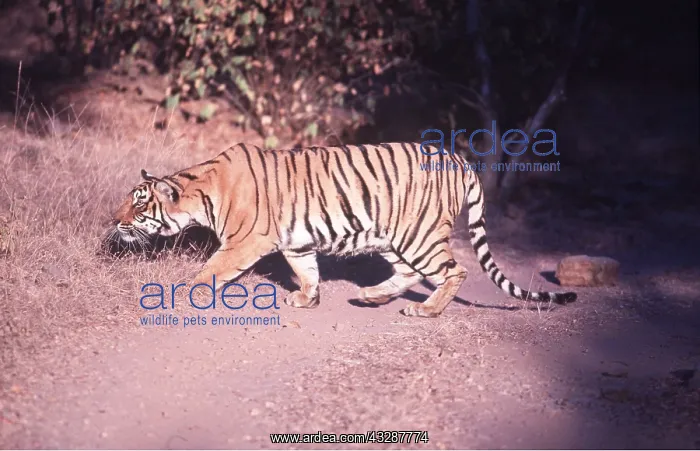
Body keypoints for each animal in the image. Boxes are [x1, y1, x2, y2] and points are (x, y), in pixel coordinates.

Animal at [112, 142, 577, 318]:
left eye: (139, 203)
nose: (113, 221)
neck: (203, 191)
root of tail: (459, 159)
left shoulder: (244, 243)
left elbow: (210, 270)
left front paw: (183, 294)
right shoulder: (296, 243)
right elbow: (307, 272)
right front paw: (307, 299)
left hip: (419, 235)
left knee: (453, 270)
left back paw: (426, 310)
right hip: (393, 237)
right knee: (410, 273)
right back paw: (371, 297)